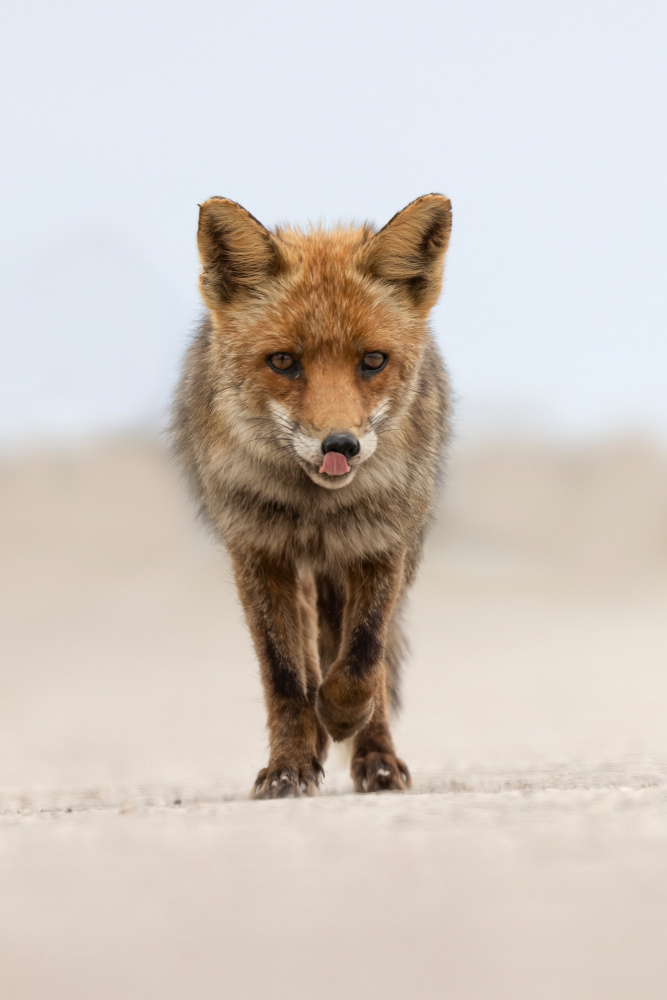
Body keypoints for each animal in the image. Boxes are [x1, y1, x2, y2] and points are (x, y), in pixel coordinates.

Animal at [172, 193, 454, 796]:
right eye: (284, 361)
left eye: (372, 361)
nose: (340, 445)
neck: (316, 510)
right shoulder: (259, 552)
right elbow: (283, 673)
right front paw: (290, 764)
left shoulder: (382, 544)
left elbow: (364, 658)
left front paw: (346, 720)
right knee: (305, 653)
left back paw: (373, 756)